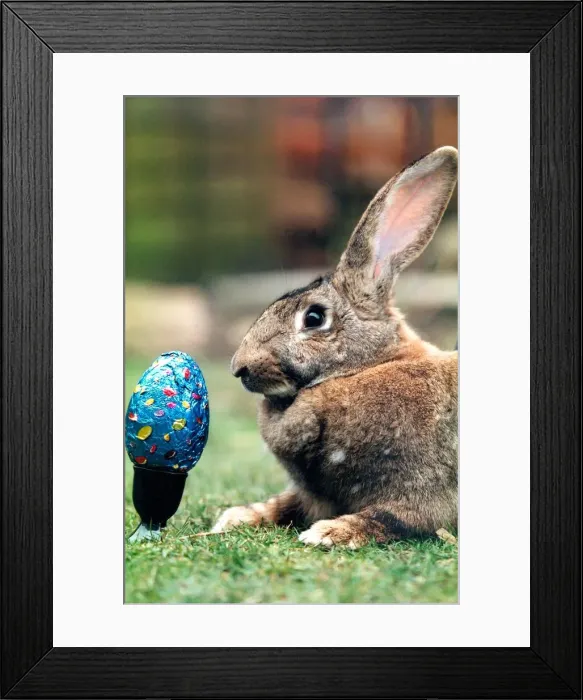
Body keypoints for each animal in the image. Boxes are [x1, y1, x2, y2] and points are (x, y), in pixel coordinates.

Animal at [212, 146, 458, 548]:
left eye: (313, 318)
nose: (239, 366)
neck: (368, 367)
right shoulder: (310, 495)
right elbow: (283, 504)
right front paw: (236, 518)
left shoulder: (423, 493)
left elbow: (390, 518)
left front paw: (329, 533)